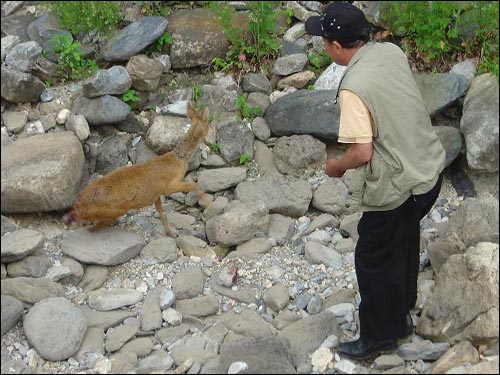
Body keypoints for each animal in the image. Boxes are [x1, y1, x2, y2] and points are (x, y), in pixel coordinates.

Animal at [63, 103, 211, 238]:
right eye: (209, 125)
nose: (210, 136)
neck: (179, 159)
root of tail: (80, 204)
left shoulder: (156, 194)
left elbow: (161, 212)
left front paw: (171, 233)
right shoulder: (169, 185)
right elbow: (192, 185)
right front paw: (206, 200)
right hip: (115, 210)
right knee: (96, 225)